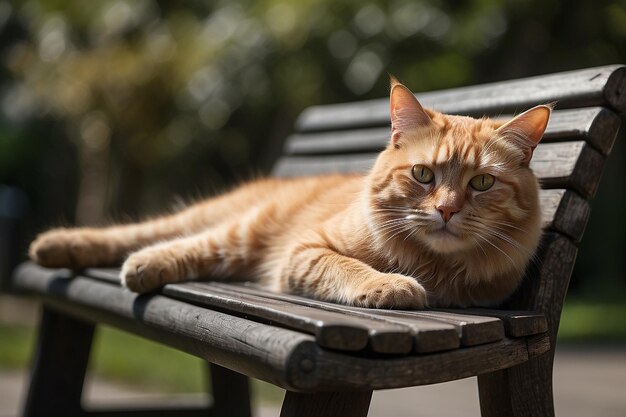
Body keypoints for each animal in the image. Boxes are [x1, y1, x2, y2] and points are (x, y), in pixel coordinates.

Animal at [28, 78, 552, 308]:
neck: (430, 262)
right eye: (423, 175)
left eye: (481, 183)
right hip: (236, 232)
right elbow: (349, 267)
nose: (445, 210)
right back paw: (76, 251)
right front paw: (389, 284)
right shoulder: (305, 251)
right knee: (153, 239)